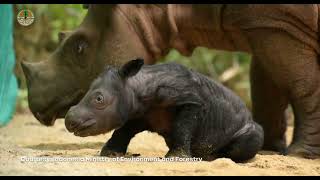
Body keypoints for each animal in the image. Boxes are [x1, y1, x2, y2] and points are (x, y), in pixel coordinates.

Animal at [64, 58, 262, 162]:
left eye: (99, 99)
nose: (69, 121)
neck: (138, 84)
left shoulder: (192, 102)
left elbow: (182, 127)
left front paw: (177, 157)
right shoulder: (141, 112)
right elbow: (123, 130)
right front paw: (110, 153)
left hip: (246, 124)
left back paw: (212, 157)